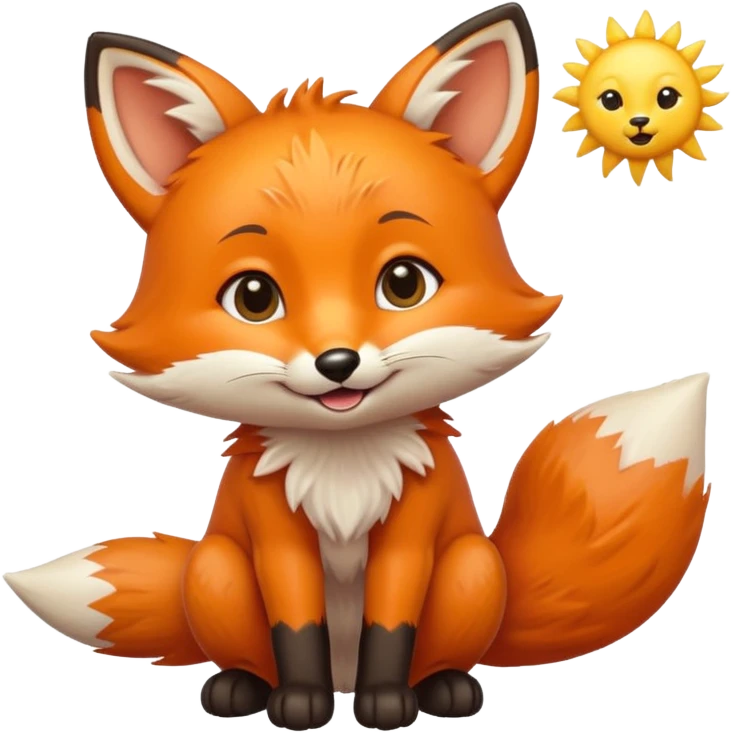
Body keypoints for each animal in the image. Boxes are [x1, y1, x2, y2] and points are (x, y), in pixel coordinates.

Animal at [5, 4, 712, 731]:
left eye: (403, 283)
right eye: (254, 297)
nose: (337, 362)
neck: (342, 466)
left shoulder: (412, 533)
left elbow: (391, 625)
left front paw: (386, 703)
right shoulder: (275, 536)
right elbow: (295, 627)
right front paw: (300, 701)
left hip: (472, 566)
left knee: (444, 649)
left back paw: (444, 687)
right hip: (215, 568)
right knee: (244, 646)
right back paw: (240, 686)